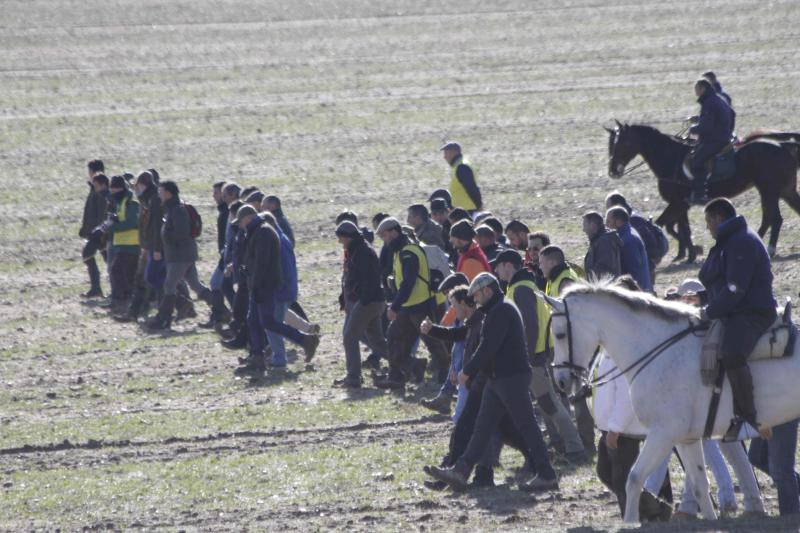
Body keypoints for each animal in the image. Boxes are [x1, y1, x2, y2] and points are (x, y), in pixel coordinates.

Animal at [540, 280, 796, 520]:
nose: (560, 381)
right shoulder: (686, 438)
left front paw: (631, 522)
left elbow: (634, 478)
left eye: (560, 334)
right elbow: (700, 485)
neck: (657, 349)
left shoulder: (663, 432)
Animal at [608, 121, 800, 262]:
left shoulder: (678, 203)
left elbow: (663, 224)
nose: (613, 171)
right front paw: (689, 253)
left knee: (775, 218)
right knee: (773, 217)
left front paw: (691, 252)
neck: (671, 158)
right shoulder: (681, 205)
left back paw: (768, 248)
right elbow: (681, 228)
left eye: (624, 143)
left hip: (769, 191)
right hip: (784, 191)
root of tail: (784, 145)